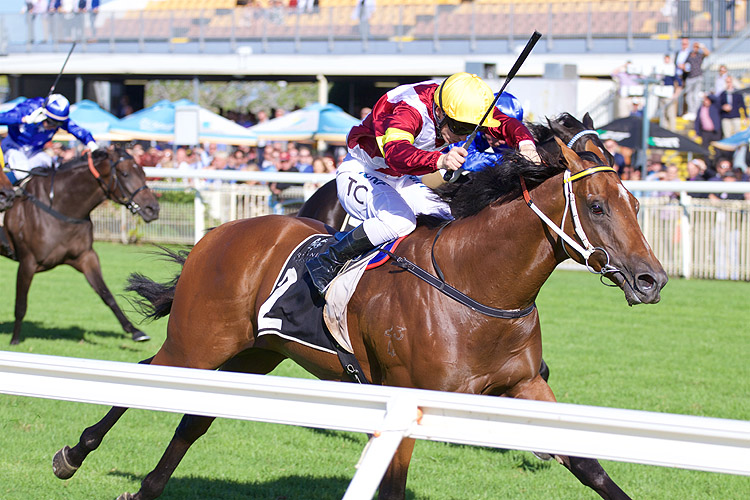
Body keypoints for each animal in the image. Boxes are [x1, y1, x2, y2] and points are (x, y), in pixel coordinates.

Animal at [2, 148, 160, 344]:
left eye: (144, 173)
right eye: (125, 174)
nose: (153, 209)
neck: (60, 208)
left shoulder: (85, 256)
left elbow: (106, 294)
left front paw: (135, 331)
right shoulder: (27, 262)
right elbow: (21, 303)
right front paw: (15, 340)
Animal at [53, 140, 668, 500]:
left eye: (636, 203)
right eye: (596, 206)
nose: (651, 280)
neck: (477, 284)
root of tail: (217, 233)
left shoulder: (522, 384)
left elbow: (586, 463)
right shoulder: (408, 401)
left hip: (254, 353)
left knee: (194, 418)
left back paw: (146, 489)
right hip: (199, 342)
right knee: (145, 376)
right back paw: (72, 455)